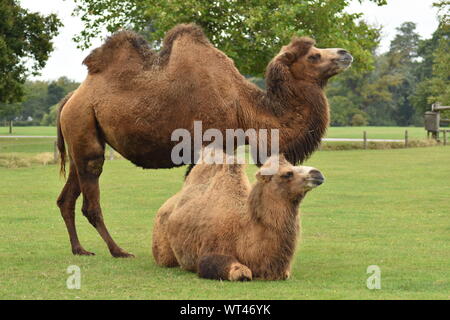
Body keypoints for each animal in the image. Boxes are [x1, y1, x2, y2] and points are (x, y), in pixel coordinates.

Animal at [55, 23, 352, 258]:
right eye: (314, 55)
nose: (345, 53)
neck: (244, 108)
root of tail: (70, 99)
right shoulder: (210, 145)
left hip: (81, 134)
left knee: (67, 196)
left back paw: (79, 249)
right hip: (84, 123)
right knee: (90, 195)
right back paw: (118, 251)